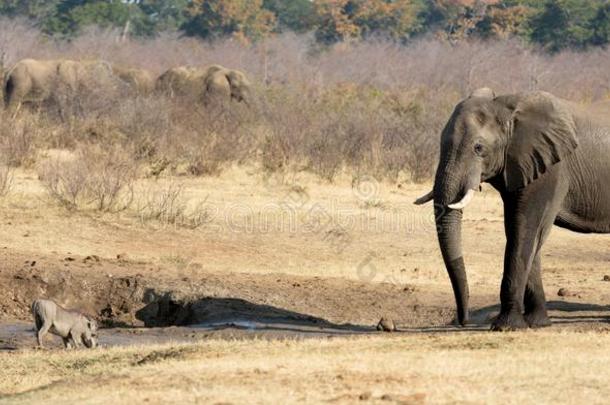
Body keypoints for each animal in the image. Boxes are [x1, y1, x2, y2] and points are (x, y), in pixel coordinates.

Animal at [414, 87, 608, 328]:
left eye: (478, 148)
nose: (463, 320)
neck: (507, 111)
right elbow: (525, 233)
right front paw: (536, 323)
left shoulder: (551, 170)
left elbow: (524, 230)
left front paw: (506, 326)